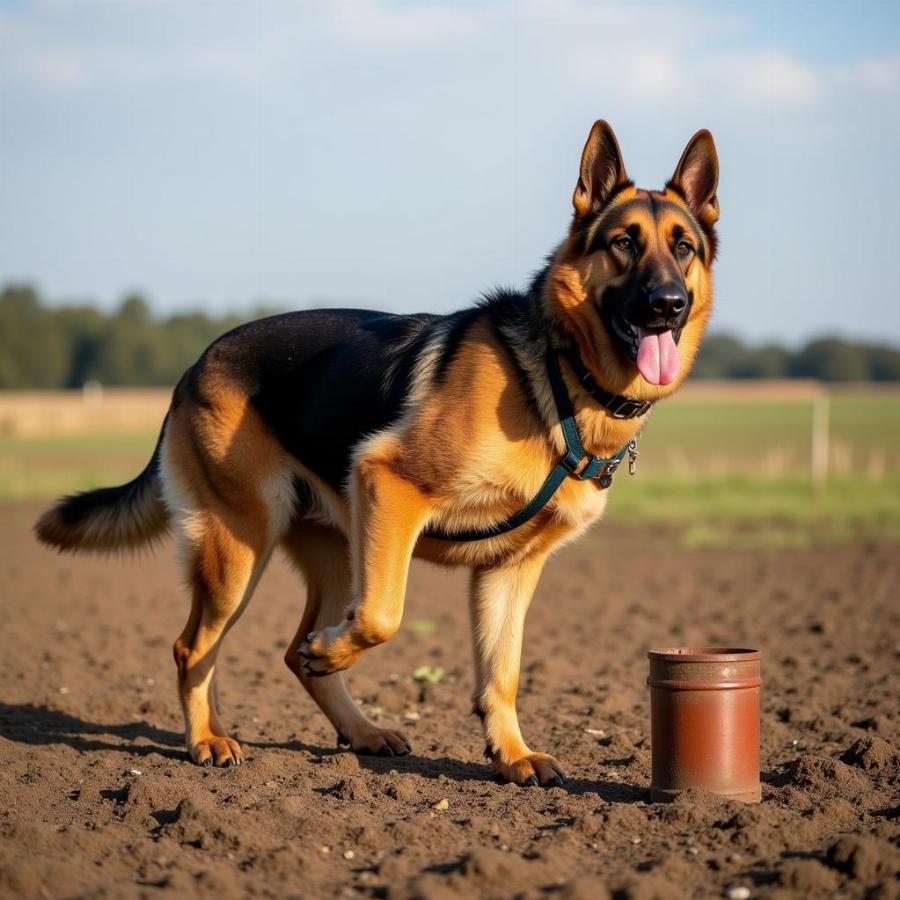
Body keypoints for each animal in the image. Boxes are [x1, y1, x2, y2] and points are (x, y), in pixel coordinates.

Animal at [35, 121, 720, 788]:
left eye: (683, 247)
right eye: (625, 243)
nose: (668, 305)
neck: (557, 373)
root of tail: (195, 364)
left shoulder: (509, 570)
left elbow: (501, 672)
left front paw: (511, 754)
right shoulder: (390, 485)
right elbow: (384, 617)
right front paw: (334, 650)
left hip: (337, 549)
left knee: (289, 652)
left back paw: (360, 731)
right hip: (243, 547)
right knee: (195, 648)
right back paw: (209, 739)